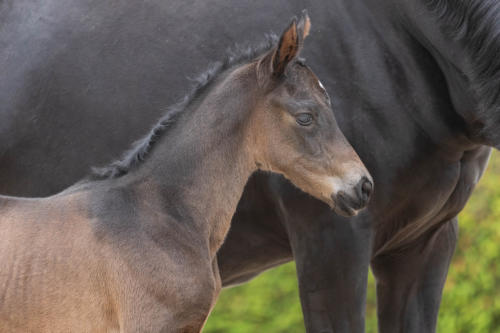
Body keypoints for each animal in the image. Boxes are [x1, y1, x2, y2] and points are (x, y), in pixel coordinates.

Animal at [0, 0, 498, 330]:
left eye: (332, 102)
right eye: (306, 116)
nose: (362, 187)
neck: (156, 212)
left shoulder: (425, 242)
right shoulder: (332, 244)